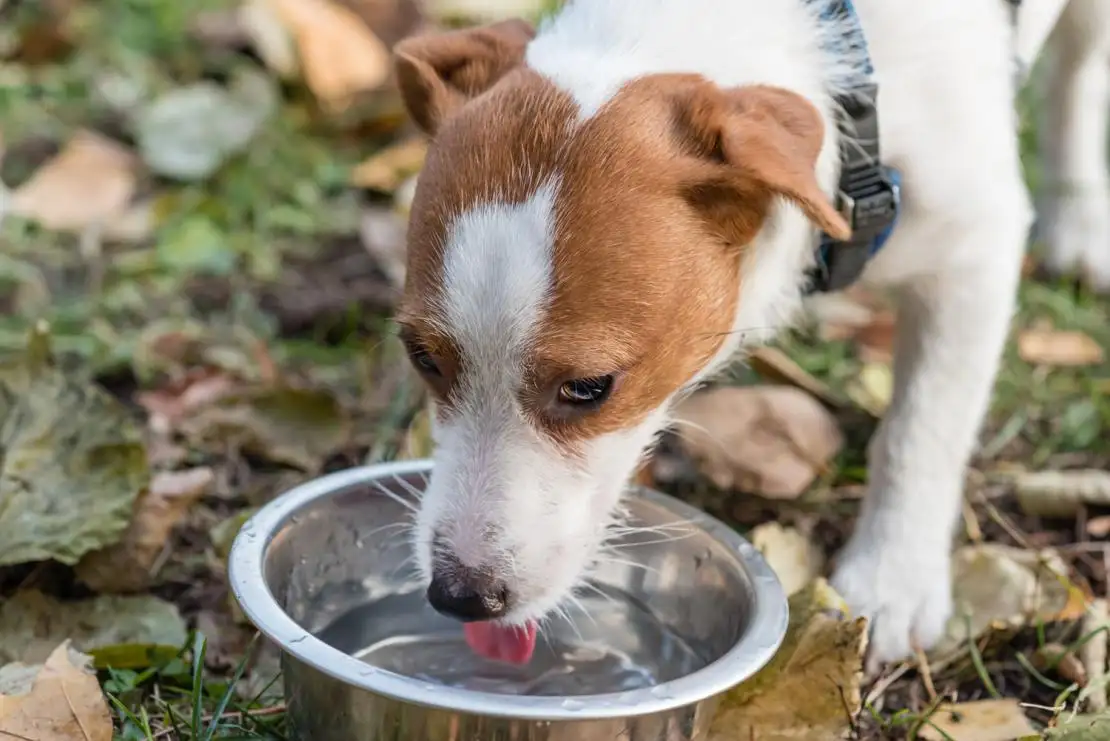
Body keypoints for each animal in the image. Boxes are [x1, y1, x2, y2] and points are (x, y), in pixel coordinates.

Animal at [388, 0, 1110, 670]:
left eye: (590, 387)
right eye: (421, 356)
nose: (459, 596)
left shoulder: (974, 253)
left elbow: (921, 432)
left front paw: (892, 579)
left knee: (1079, 64)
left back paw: (1079, 216)